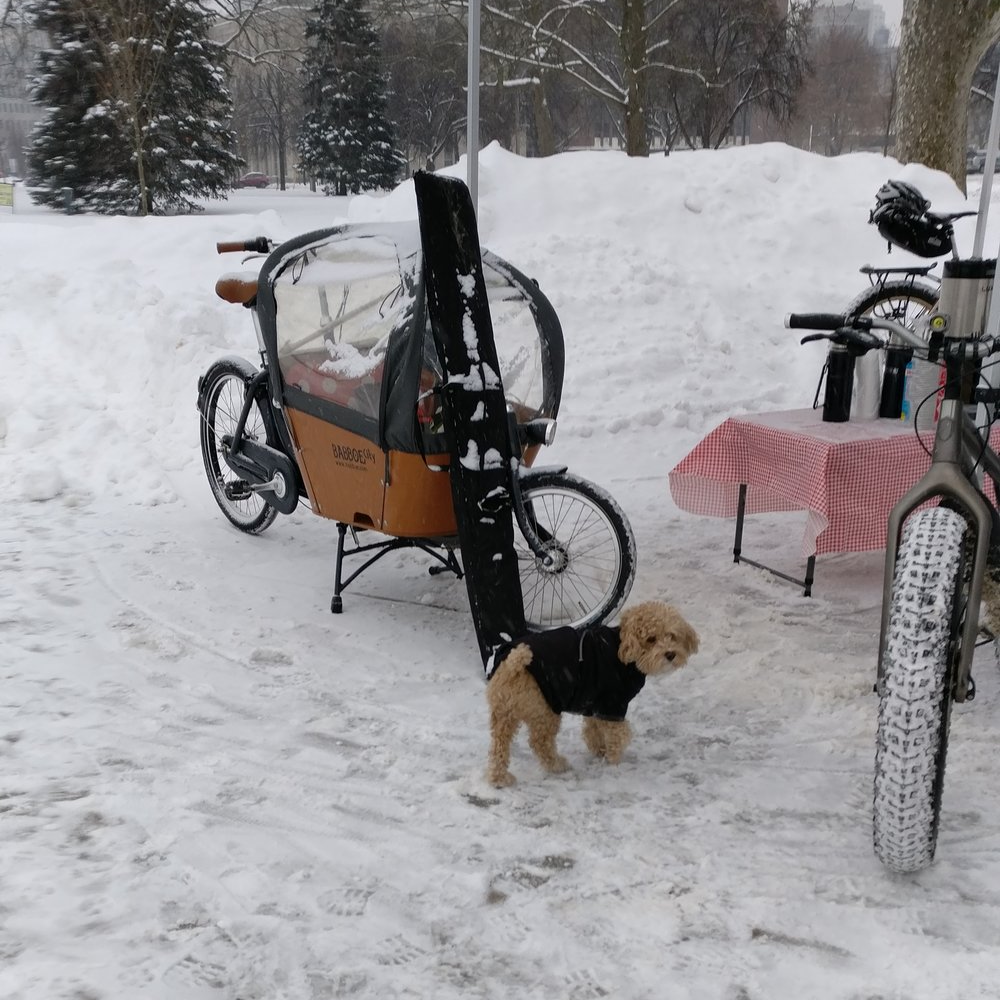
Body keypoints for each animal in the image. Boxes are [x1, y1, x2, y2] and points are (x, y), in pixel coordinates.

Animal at [484, 600, 696, 788]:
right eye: (651, 639)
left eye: (672, 636)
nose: (670, 654)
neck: (622, 648)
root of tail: (512, 665)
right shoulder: (613, 704)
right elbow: (618, 735)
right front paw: (613, 762)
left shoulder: (595, 704)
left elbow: (593, 730)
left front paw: (599, 750)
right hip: (545, 710)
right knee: (539, 743)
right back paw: (557, 765)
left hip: (503, 714)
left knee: (498, 746)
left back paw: (498, 778)